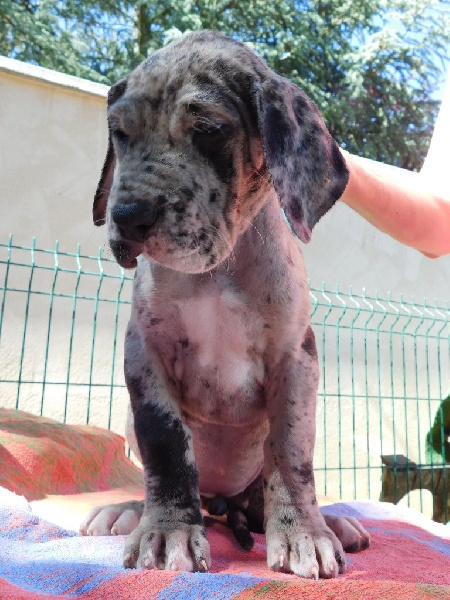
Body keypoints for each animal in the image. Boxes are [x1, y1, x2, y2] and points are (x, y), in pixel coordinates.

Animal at [82, 30, 370, 579]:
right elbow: (166, 446)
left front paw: (303, 533)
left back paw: (328, 522)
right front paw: (167, 532)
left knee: (261, 494)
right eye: (119, 133)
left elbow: (290, 452)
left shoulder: (295, 358)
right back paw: (129, 511)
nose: (127, 215)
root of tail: (221, 502)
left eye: (208, 130)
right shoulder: (145, 352)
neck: (217, 272)